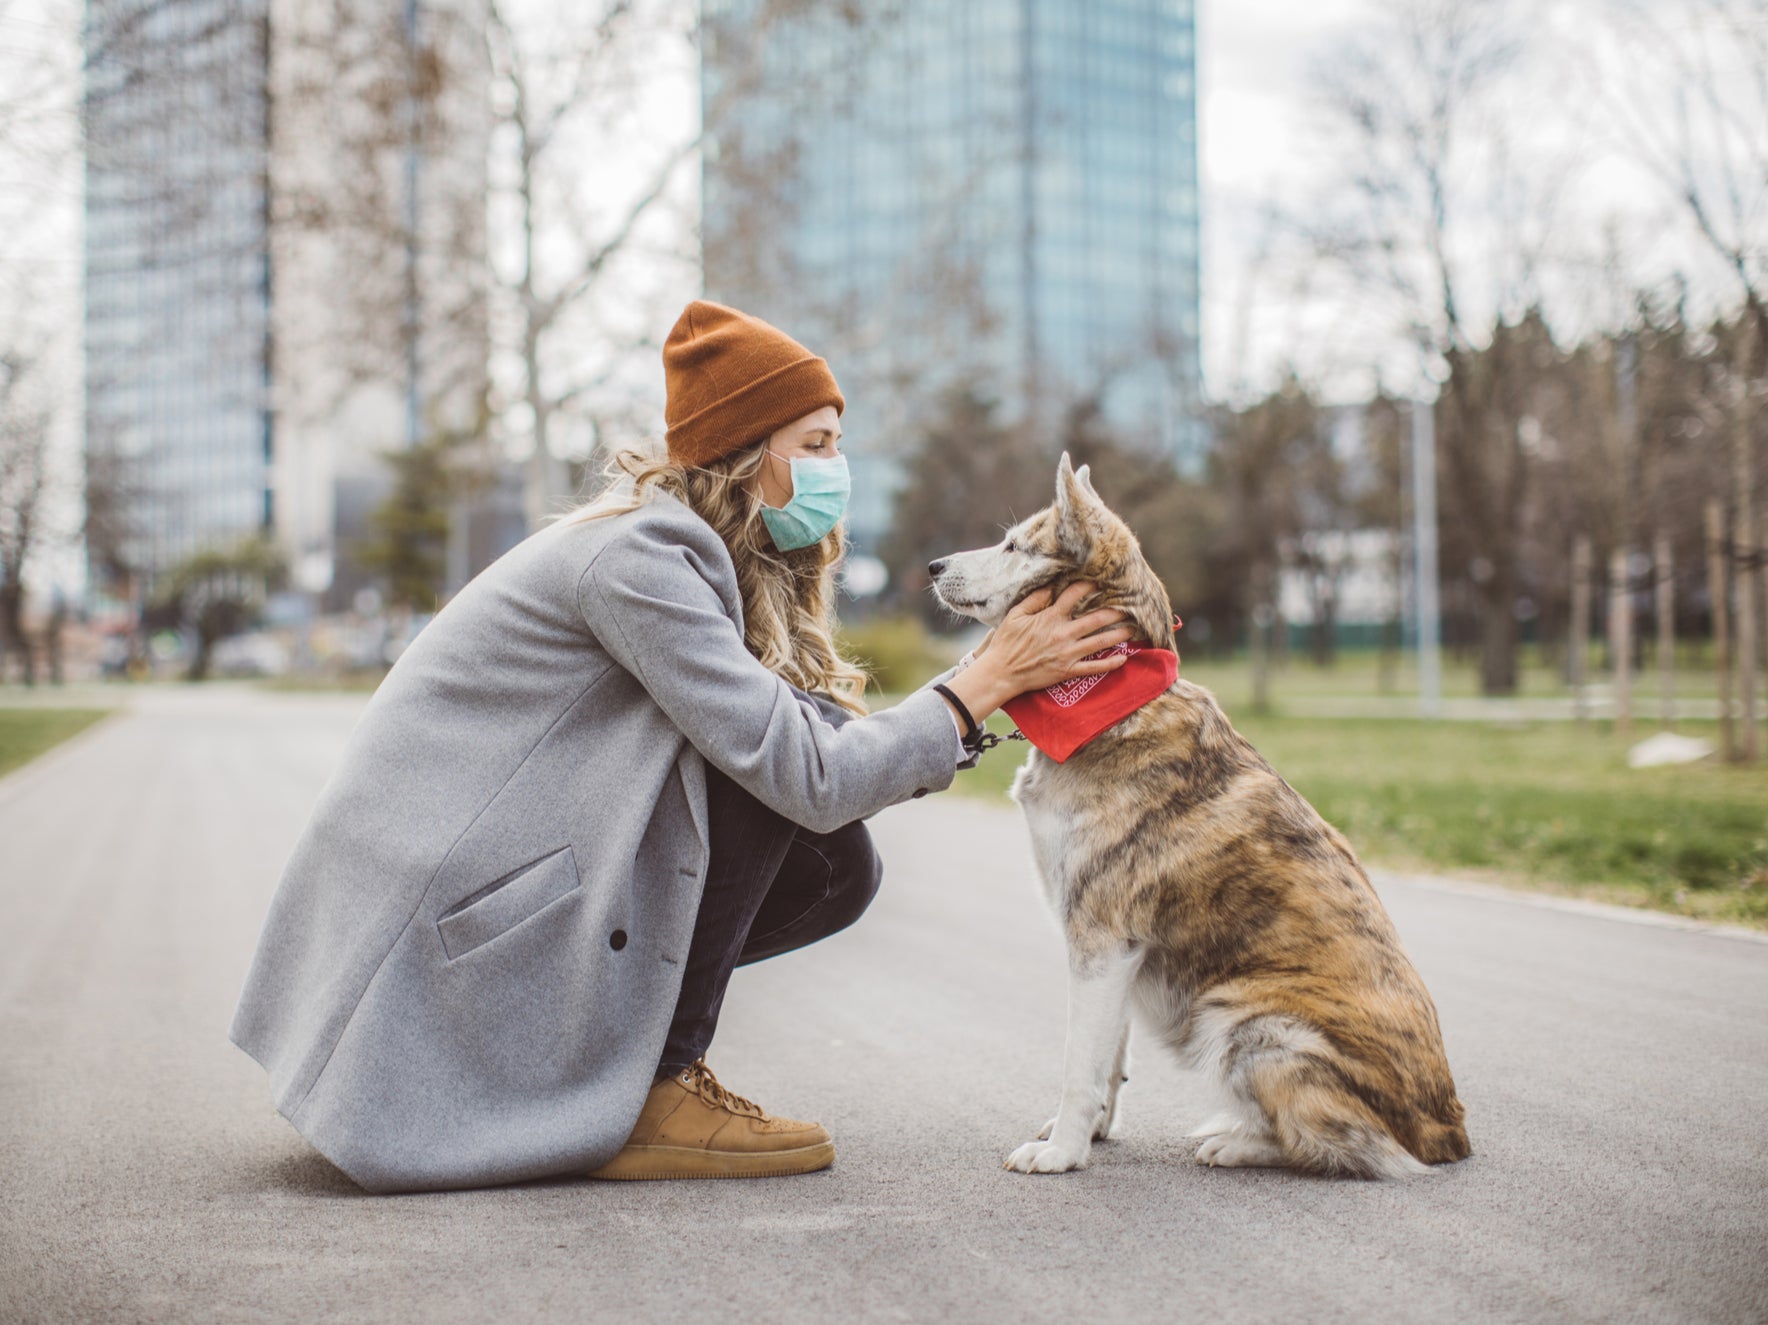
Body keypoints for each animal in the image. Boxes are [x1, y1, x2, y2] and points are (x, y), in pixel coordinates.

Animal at [933, 452, 1470, 1181]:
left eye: (1015, 545)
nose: (933, 564)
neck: (1107, 697)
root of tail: (1450, 1135)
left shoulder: (1101, 940)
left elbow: (1079, 1064)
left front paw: (1063, 1153)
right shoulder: (1117, 955)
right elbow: (1108, 1060)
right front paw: (1091, 1134)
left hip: (1243, 1020)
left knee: (1345, 1145)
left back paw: (1237, 1141)